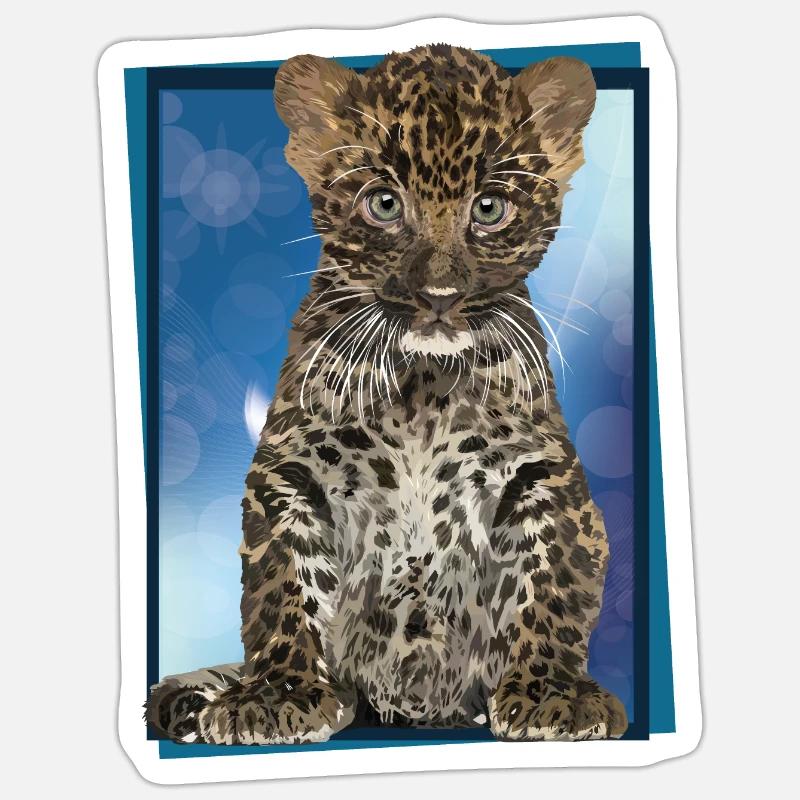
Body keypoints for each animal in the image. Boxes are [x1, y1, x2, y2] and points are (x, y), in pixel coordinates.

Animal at [147, 44, 628, 744]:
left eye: (490, 208)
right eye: (382, 203)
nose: (439, 295)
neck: (422, 387)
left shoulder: (541, 472)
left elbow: (553, 579)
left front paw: (553, 695)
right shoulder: (291, 471)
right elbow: (283, 583)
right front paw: (277, 694)